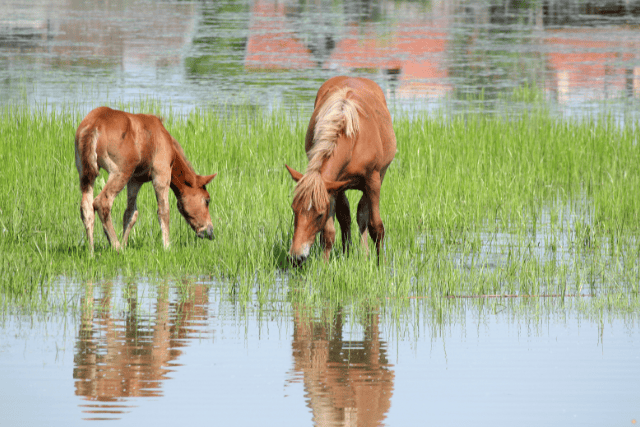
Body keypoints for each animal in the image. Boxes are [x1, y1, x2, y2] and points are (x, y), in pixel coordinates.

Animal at [74, 106, 216, 253]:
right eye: (207, 200)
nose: (210, 232)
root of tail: (94, 125)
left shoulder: (135, 180)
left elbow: (131, 213)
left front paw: (125, 245)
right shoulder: (161, 172)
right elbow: (164, 211)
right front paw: (167, 247)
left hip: (85, 173)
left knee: (86, 208)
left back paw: (91, 251)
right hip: (120, 171)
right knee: (102, 202)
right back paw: (116, 246)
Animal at [285, 76, 397, 266]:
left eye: (319, 215)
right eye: (294, 209)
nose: (296, 257)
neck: (353, 139)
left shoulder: (373, 181)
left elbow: (376, 226)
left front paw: (381, 264)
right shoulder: (332, 186)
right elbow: (329, 232)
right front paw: (324, 265)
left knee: (362, 213)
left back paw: (365, 254)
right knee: (347, 216)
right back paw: (348, 252)